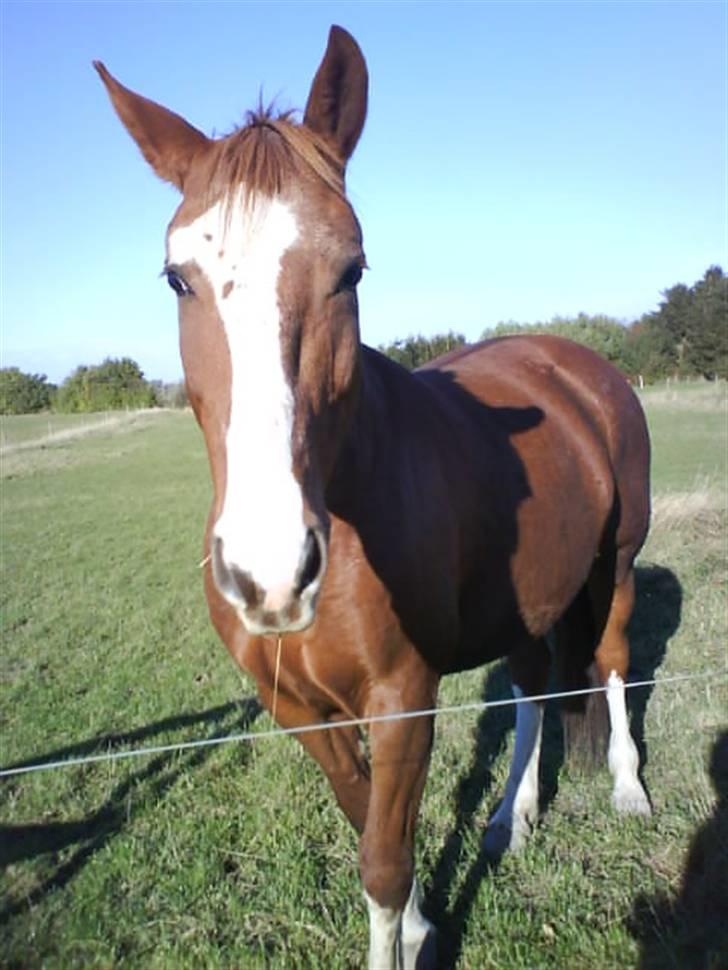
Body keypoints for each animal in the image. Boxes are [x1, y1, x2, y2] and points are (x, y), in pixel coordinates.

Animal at [95, 24, 648, 968]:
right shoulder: (302, 713)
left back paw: (627, 791)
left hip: (615, 560)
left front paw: (409, 925)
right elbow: (372, 831)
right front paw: (426, 919)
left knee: (609, 661)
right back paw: (512, 818)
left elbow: (383, 864)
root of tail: (576, 361)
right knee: (532, 689)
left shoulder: (402, 701)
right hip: (531, 595)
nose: (271, 573)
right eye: (177, 278)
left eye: (350, 269)